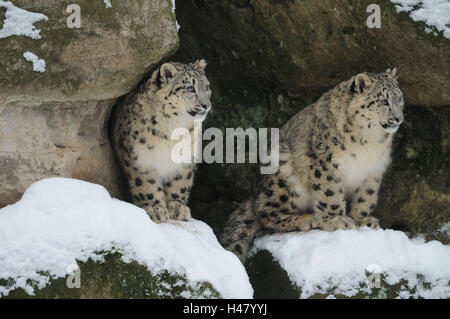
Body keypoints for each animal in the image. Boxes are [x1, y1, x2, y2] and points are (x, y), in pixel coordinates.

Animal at [111, 61, 212, 224]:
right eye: (190, 88)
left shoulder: (186, 158)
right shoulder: (140, 156)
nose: (206, 105)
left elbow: (180, 183)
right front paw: (155, 208)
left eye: (207, 86)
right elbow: (145, 183)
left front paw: (177, 208)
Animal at [221, 69, 404, 262]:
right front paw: (336, 220)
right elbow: (330, 193)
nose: (399, 118)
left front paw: (362, 220)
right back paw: (306, 219)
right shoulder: (323, 160)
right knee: (264, 212)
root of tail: (255, 193)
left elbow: (365, 196)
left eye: (399, 98)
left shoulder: (373, 170)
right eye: (384, 101)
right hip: (282, 172)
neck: (370, 141)